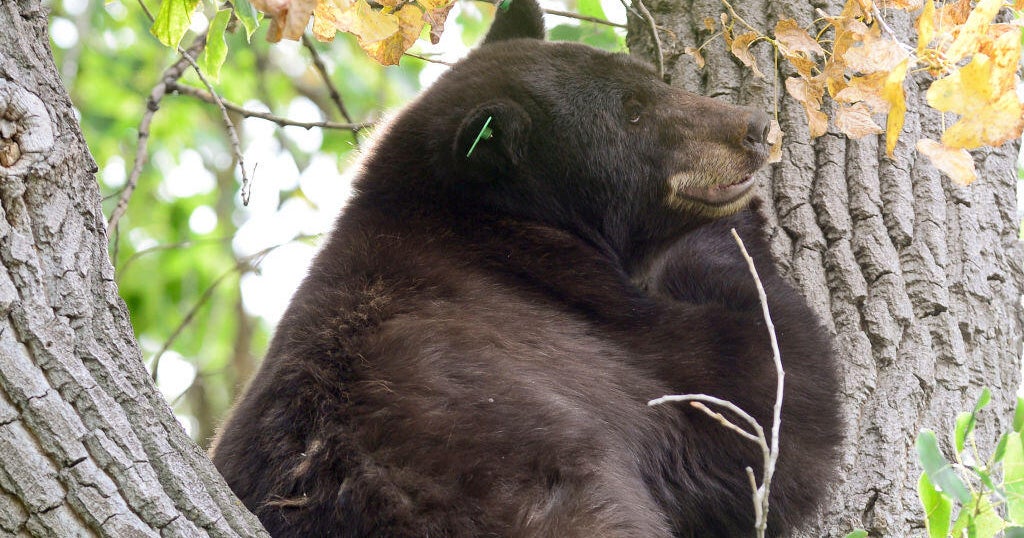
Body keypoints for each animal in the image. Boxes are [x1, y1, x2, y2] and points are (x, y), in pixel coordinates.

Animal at [210, 1, 842, 536]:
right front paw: (735, 232)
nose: (754, 128)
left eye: (652, 80)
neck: (492, 226)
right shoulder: (588, 323)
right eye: (633, 115)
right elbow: (770, 396)